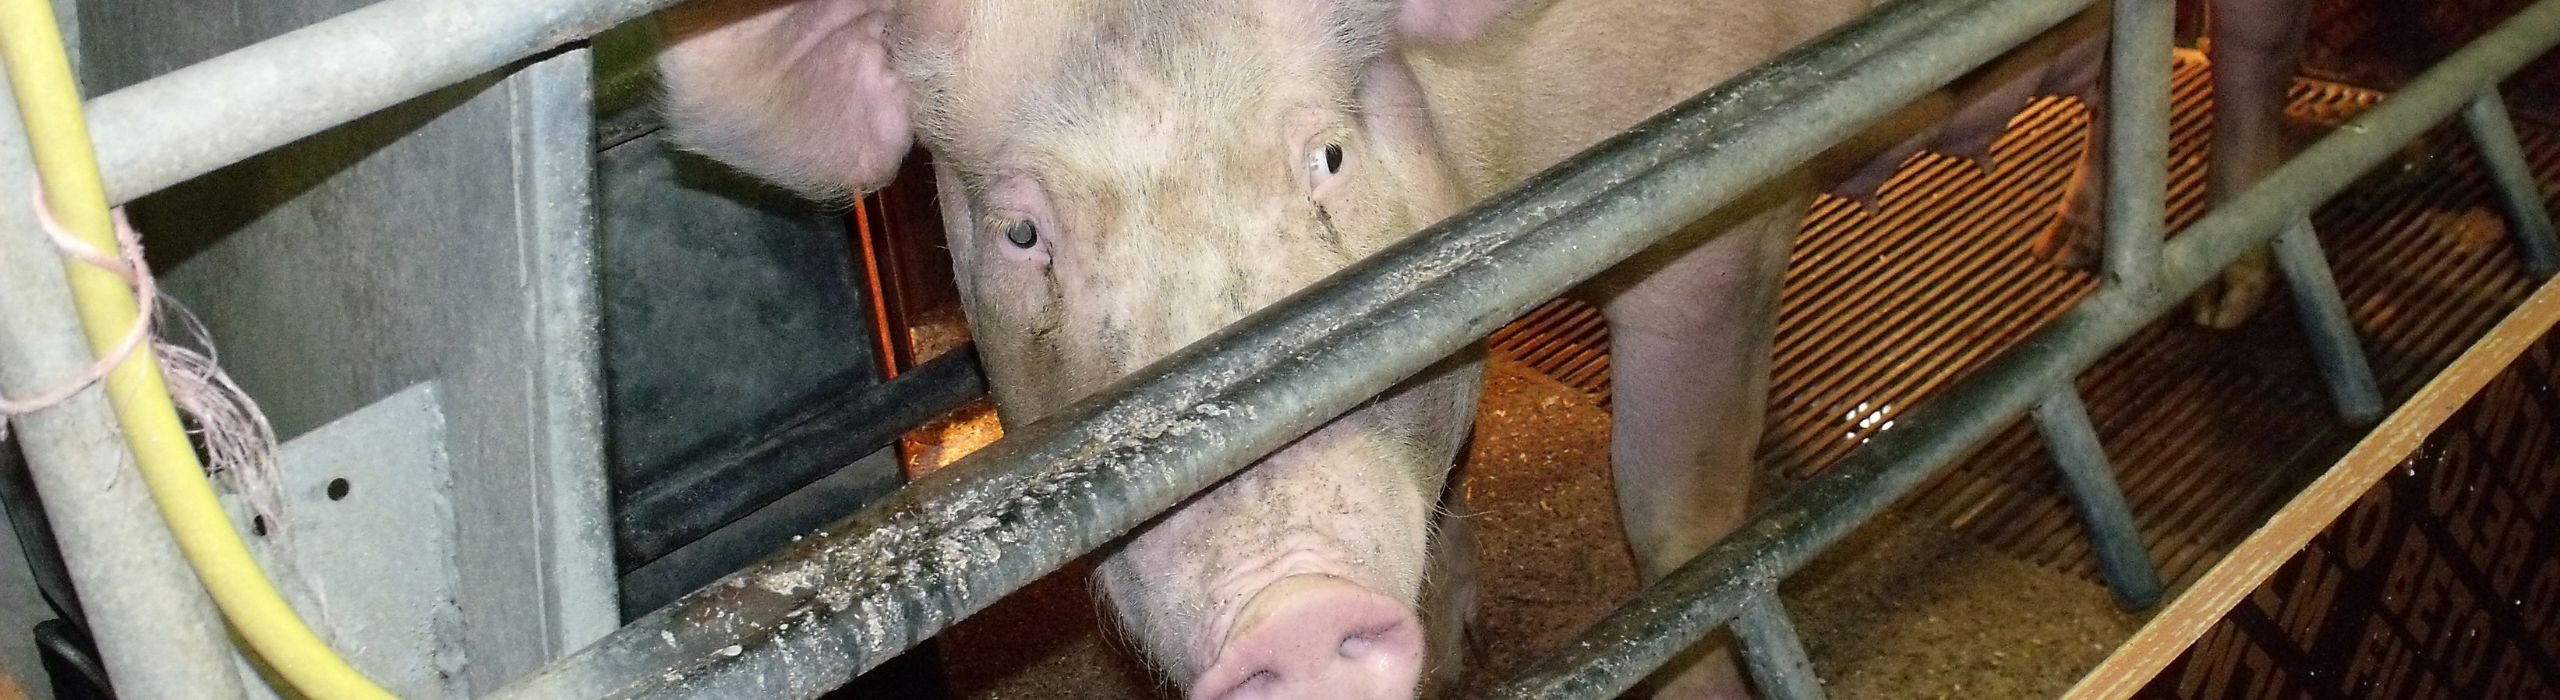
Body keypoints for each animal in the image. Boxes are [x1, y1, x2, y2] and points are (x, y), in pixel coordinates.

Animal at [655, 0, 1863, 697]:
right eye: (1022, 233)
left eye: (1329, 156)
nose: (1298, 607)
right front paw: (1454, 644)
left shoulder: (1721, 183)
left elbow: (1679, 526)